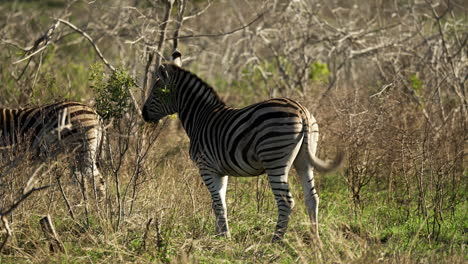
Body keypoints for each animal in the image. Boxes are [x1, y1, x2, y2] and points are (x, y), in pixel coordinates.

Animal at [141, 63, 342, 240]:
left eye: (155, 92)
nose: (143, 114)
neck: (201, 117)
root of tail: (301, 111)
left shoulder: (206, 167)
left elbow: (217, 203)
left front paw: (224, 236)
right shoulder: (220, 171)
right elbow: (219, 202)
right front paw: (219, 235)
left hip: (275, 159)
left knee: (286, 201)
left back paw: (275, 240)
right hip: (304, 160)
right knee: (312, 198)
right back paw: (315, 239)